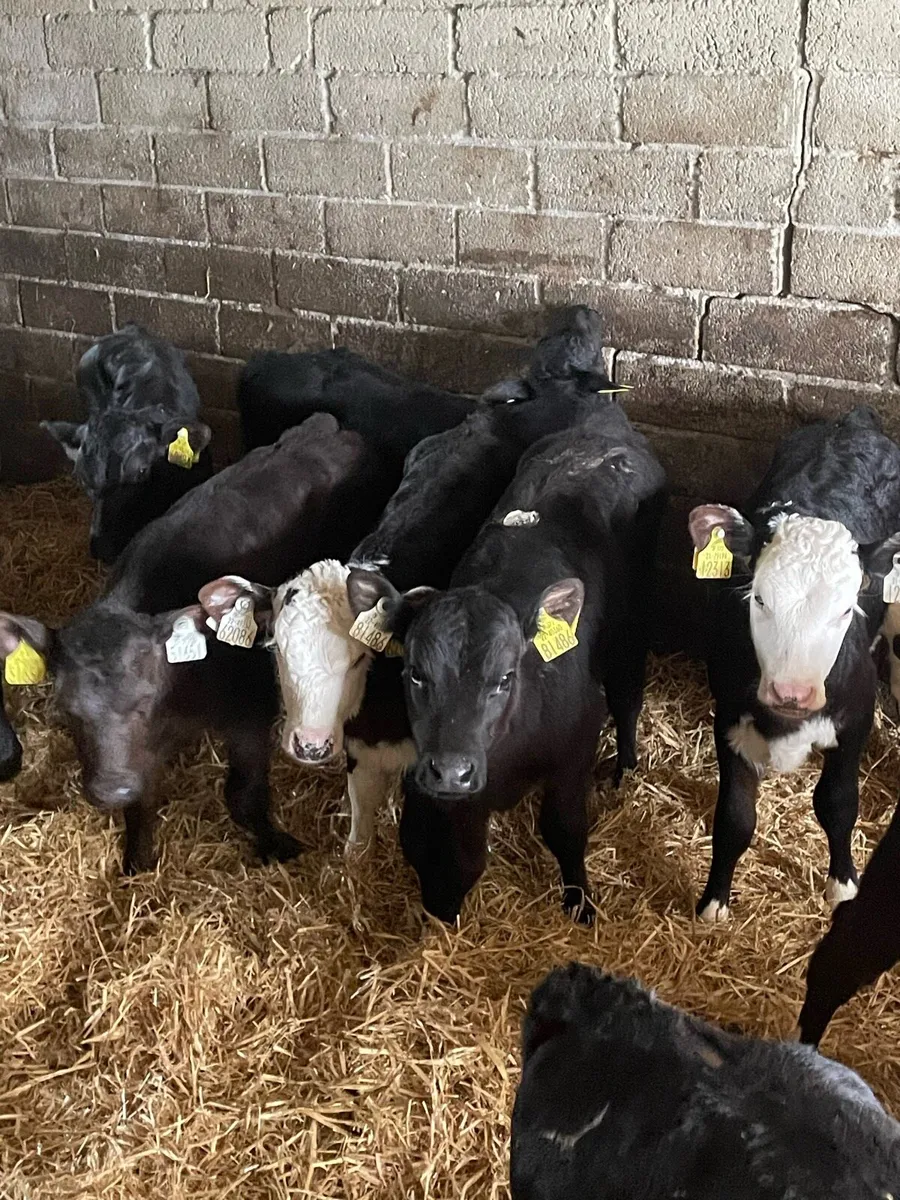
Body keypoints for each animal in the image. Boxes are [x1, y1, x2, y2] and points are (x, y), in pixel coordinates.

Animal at [0, 414, 388, 875]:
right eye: (67, 710)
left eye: (145, 700)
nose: (111, 789)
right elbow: (142, 804)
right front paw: (136, 861)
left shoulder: (251, 706)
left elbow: (242, 795)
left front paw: (275, 843)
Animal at [351, 402, 667, 924]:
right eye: (415, 673)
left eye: (504, 678)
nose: (452, 771)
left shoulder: (574, 752)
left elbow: (564, 830)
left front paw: (579, 901)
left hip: (632, 626)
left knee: (627, 698)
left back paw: (625, 768)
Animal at [690, 406, 900, 923]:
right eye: (758, 598)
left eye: (845, 609)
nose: (791, 693)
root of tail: (853, 422)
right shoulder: (729, 719)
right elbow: (735, 818)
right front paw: (714, 902)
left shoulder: (855, 720)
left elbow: (838, 804)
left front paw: (842, 886)